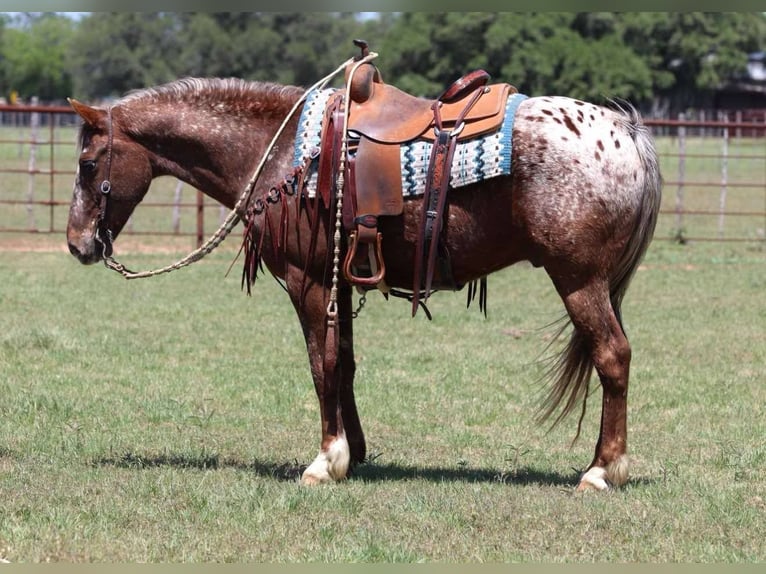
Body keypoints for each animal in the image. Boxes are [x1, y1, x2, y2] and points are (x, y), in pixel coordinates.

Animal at [66, 65, 661, 491]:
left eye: (88, 165)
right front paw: (355, 453)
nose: (77, 243)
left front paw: (325, 460)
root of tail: (626, 132)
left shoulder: (308, 281)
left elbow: (321, 364)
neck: (282, 152)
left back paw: (601, 471)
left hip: (579, 280)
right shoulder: (341, 281)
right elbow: (345, 364)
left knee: (613, 356)